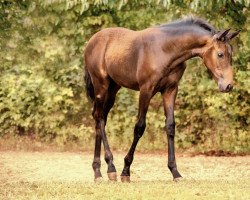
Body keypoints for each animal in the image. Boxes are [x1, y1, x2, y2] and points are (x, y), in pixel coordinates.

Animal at [84, 17, 240, 182]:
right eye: (220, 54)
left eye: (231, 54)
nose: (228, 85)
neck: (166, 50)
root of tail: (91, 41)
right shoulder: (146, 90)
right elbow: (139, 127)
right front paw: (126, 171)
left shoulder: (170, 90)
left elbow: (170, 126)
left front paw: (175, 172)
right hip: (101, 86)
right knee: (99, 117)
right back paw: (110, 167)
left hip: (113, 89)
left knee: (100, 119)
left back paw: (98, 171)